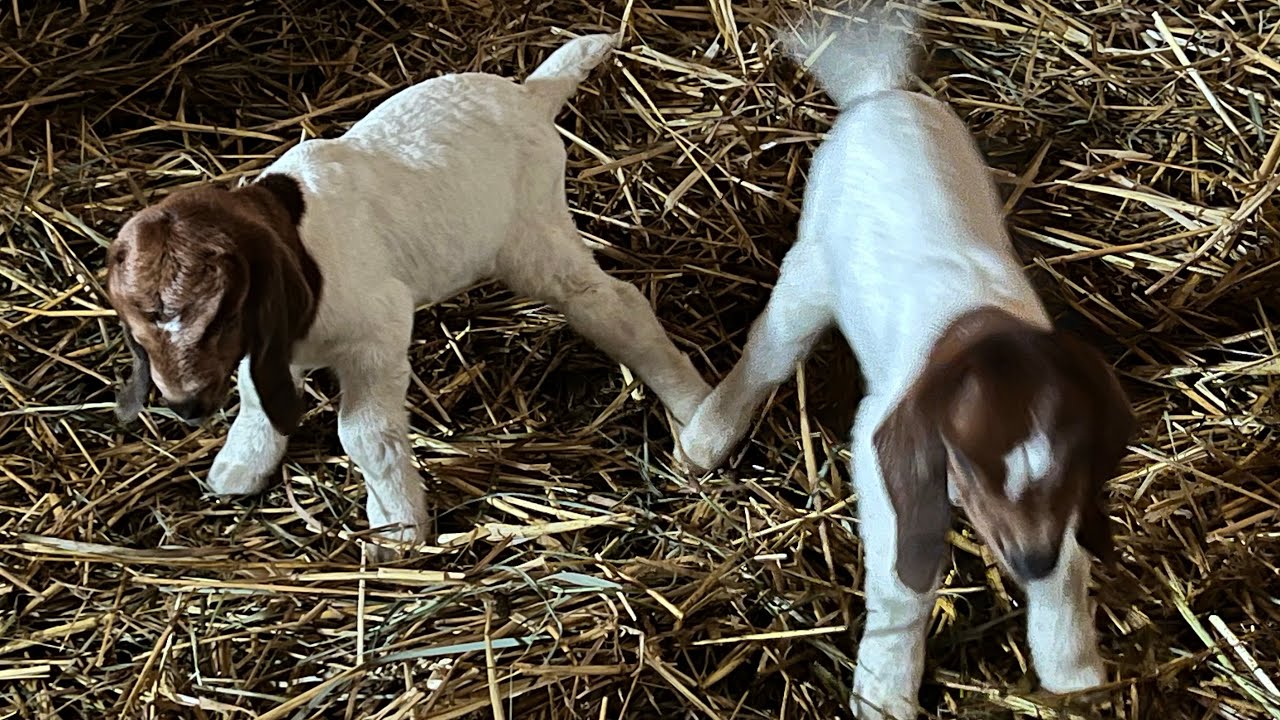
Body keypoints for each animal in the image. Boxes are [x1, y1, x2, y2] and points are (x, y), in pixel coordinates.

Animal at [106, 33, 712, 558]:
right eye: (134, 330)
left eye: (222, 314)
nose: (185, 406)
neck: (296, 234)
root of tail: (530, 94)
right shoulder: (273, 345)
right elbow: (257, 395)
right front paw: (240, 466)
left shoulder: (378, 328)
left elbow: (363, 432)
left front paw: (397, 530)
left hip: (532, 232)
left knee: (609, 302)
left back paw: (694, 412)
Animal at [676, 10, 1136, 718]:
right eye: (970, 467)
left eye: (1073, 463)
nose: (1027, 562)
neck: (979, 329)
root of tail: (880, 94)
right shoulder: (881, 438)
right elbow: (903, 570)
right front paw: (885, 691)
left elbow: (1066, 559)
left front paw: (1075, 673)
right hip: (811, 266)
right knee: (771, 349)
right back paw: (705, 438)